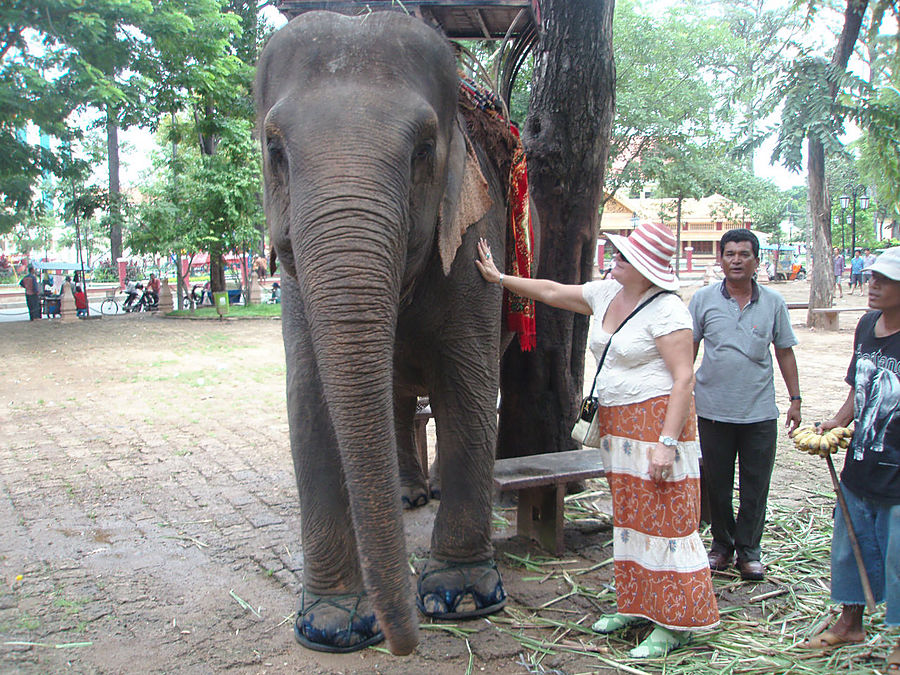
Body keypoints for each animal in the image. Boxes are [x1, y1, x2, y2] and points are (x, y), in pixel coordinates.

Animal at [253, 9, 536, 656]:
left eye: (424, 149)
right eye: (274, 149)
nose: (402, 639)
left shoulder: (475, 235)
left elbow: (469, 387)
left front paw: (460, 598)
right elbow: (308, 400)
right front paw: (332, 623)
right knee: (400, 398)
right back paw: (409, 496)